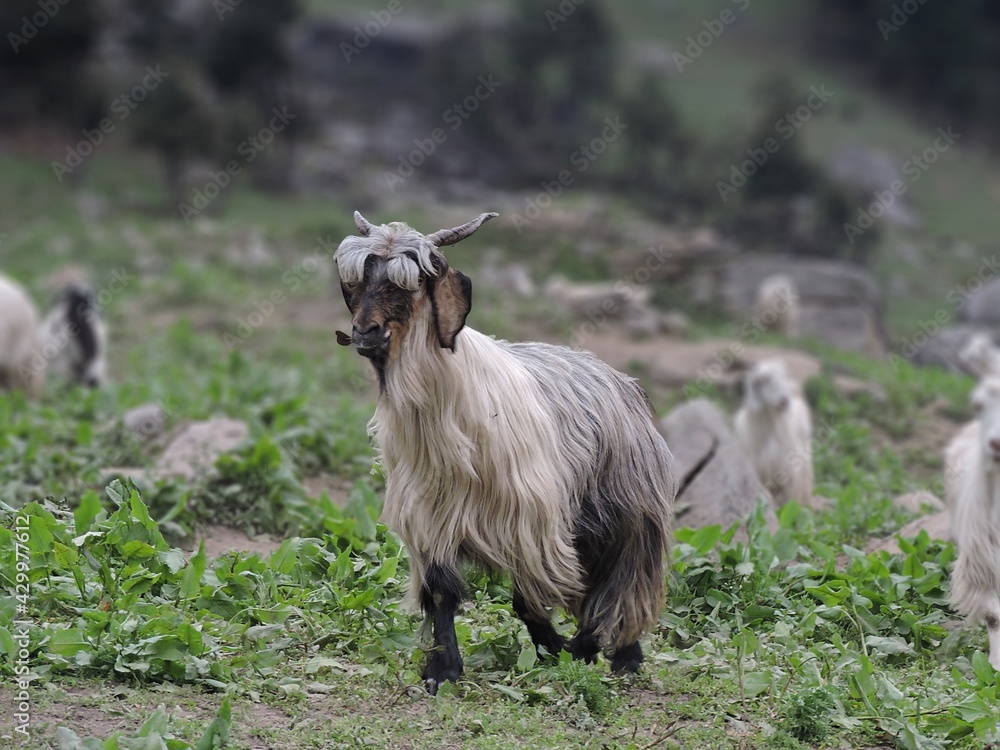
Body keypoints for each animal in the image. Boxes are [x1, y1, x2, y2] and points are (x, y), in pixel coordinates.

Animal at [334, 211, 676, 692]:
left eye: (410, 283)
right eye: (358, 281)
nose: (366, 332)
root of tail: (624, 382)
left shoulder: (531, 520)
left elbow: (528, 600)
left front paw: (561, 650)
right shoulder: (431, 517)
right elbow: (441, 592)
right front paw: (443, 669)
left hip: (628, 512)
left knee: (622, 582)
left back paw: (617, 654)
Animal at [734, 359, 814, 507]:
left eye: (783, 378)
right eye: (764, 381)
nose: (784, 400)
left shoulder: (788, 469)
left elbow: (789, 500)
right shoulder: (757, 467)